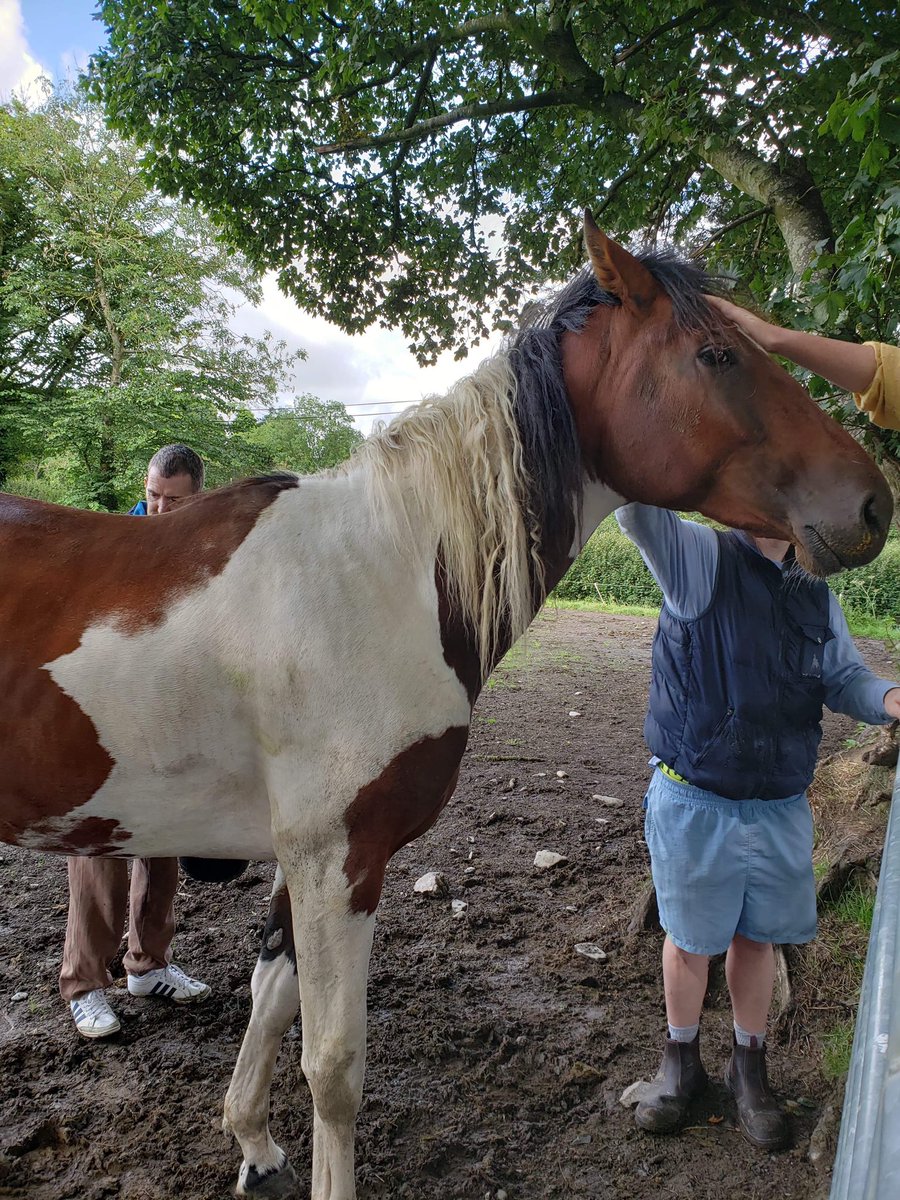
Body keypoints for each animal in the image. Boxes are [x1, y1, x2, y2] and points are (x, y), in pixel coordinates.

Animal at [0, 213, 891, 1200]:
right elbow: (334, 1067)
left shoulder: (309, 862)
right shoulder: (339, 859)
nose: (873, 502)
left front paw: (255, 1146)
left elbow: (272, 1002)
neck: (381, 574)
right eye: (717, 355)